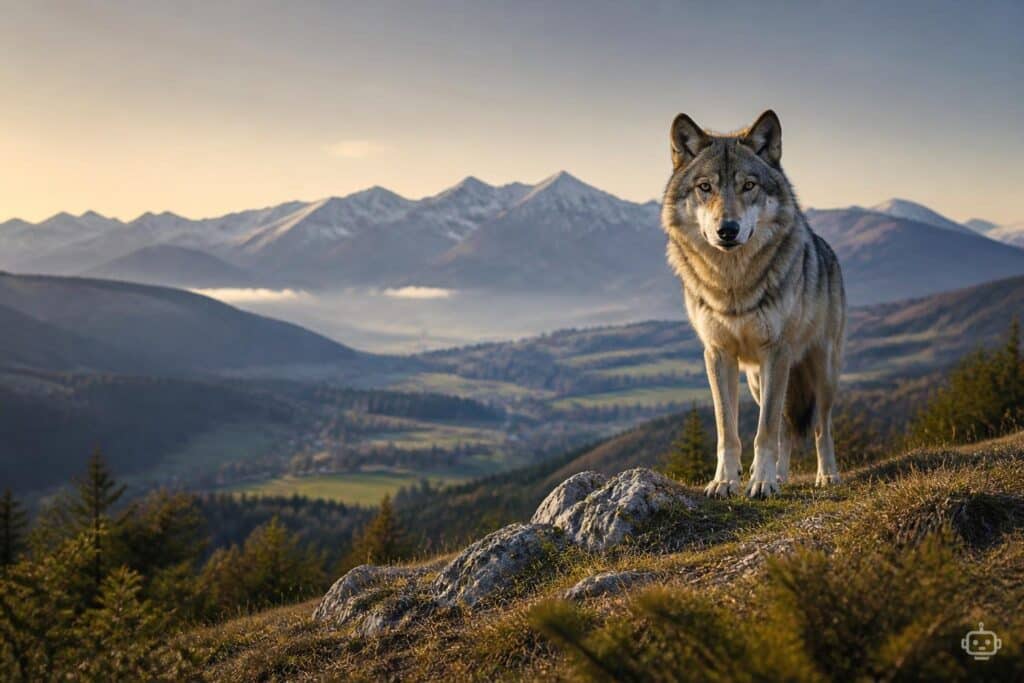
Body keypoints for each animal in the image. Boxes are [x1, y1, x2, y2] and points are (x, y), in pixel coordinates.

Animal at [660, 110, 845, 498]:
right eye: (705, 187)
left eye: (749, 186)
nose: (727, 230)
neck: (732, 285)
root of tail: (826, 250)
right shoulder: (718, 354)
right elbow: (728, 431)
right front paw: (725, 481)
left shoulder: (776, 350)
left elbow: (765, 432)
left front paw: (760, 482)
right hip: (759, 381)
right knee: (786, 426)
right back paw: (783, 476)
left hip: (821, 369)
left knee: (820, 426)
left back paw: (826, 475)